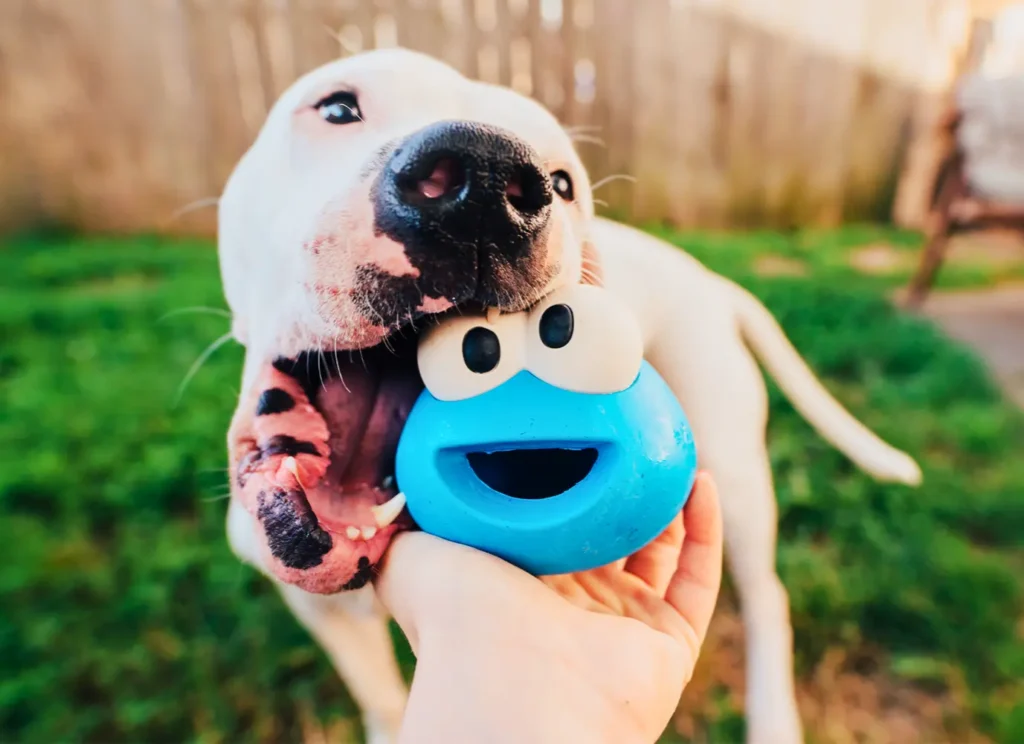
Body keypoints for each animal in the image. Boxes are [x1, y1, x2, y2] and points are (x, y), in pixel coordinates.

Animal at [218, 49, 921, 740]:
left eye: (563, 184)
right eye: (338, 107)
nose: (484, 180)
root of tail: (708, 278)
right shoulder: (323, 614)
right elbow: (384, 704)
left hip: (737, 475)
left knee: (768, 596)